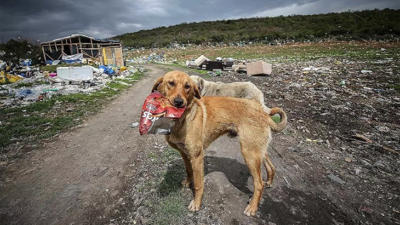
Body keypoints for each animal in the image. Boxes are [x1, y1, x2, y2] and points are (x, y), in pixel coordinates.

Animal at [152, 70, 288, 216]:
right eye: (170, 83)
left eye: (188, 86)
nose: (179, 102)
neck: (182, 118)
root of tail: (263, 111)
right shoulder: (184, 153)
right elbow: (188, 171)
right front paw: (188, 182)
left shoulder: (197, 156)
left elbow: (199, 184)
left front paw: (196, 203)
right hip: (257, 149)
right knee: (270, 166)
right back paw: (269, 181)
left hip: (249, 154)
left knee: (259, 184)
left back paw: (252, 207)